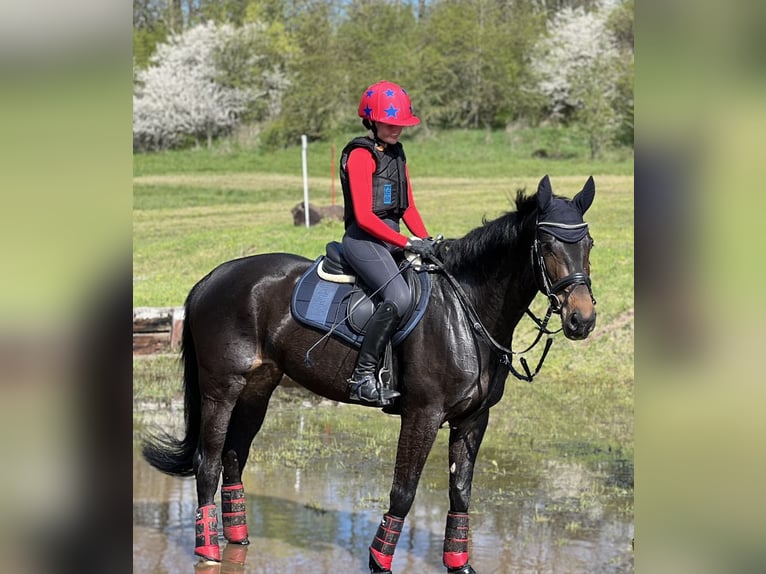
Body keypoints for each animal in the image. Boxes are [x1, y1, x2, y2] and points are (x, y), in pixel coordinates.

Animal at [142, 174, 597, 573]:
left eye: (588, 243)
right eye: (547, 244)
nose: (582, 320)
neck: (465, 310)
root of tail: (210, 279)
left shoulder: (472, 419)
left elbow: (461, 493)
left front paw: (458, 563)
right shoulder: (422, 415)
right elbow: (403, 491)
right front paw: (379, 562)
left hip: (258, 387)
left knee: (235, 456)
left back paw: (238, 538)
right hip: (222, 388)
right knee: (208, 462)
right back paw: (209, 549)